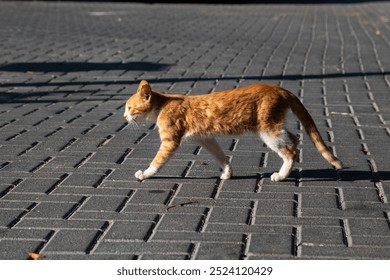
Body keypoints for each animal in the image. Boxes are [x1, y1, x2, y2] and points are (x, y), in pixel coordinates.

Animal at [123, 80, 342, 182]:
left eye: (130, 108)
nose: (124, 117)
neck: (163, 104)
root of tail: (278, 88)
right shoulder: (206, 138)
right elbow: (221, 156)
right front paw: (228, 172)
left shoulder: (170, 141)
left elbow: (157, 161)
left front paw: (145, 173)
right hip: (274, 127)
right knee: (294, 138)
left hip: (268, 130)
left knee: (291, 151)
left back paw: (281, 175)